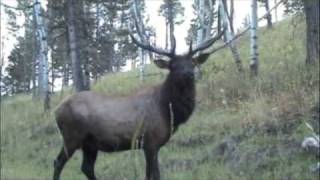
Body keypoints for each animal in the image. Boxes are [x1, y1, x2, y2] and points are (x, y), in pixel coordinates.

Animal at [53, 27, 222, 179]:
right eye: (173, 65)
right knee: (58, 162)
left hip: (89, 144)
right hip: (71, 137)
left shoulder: (151, 145)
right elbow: (154, 175)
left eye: (192, 63)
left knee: (86, 168)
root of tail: (56, 111)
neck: (168, 110)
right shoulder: (150, 142)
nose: (189, 74)